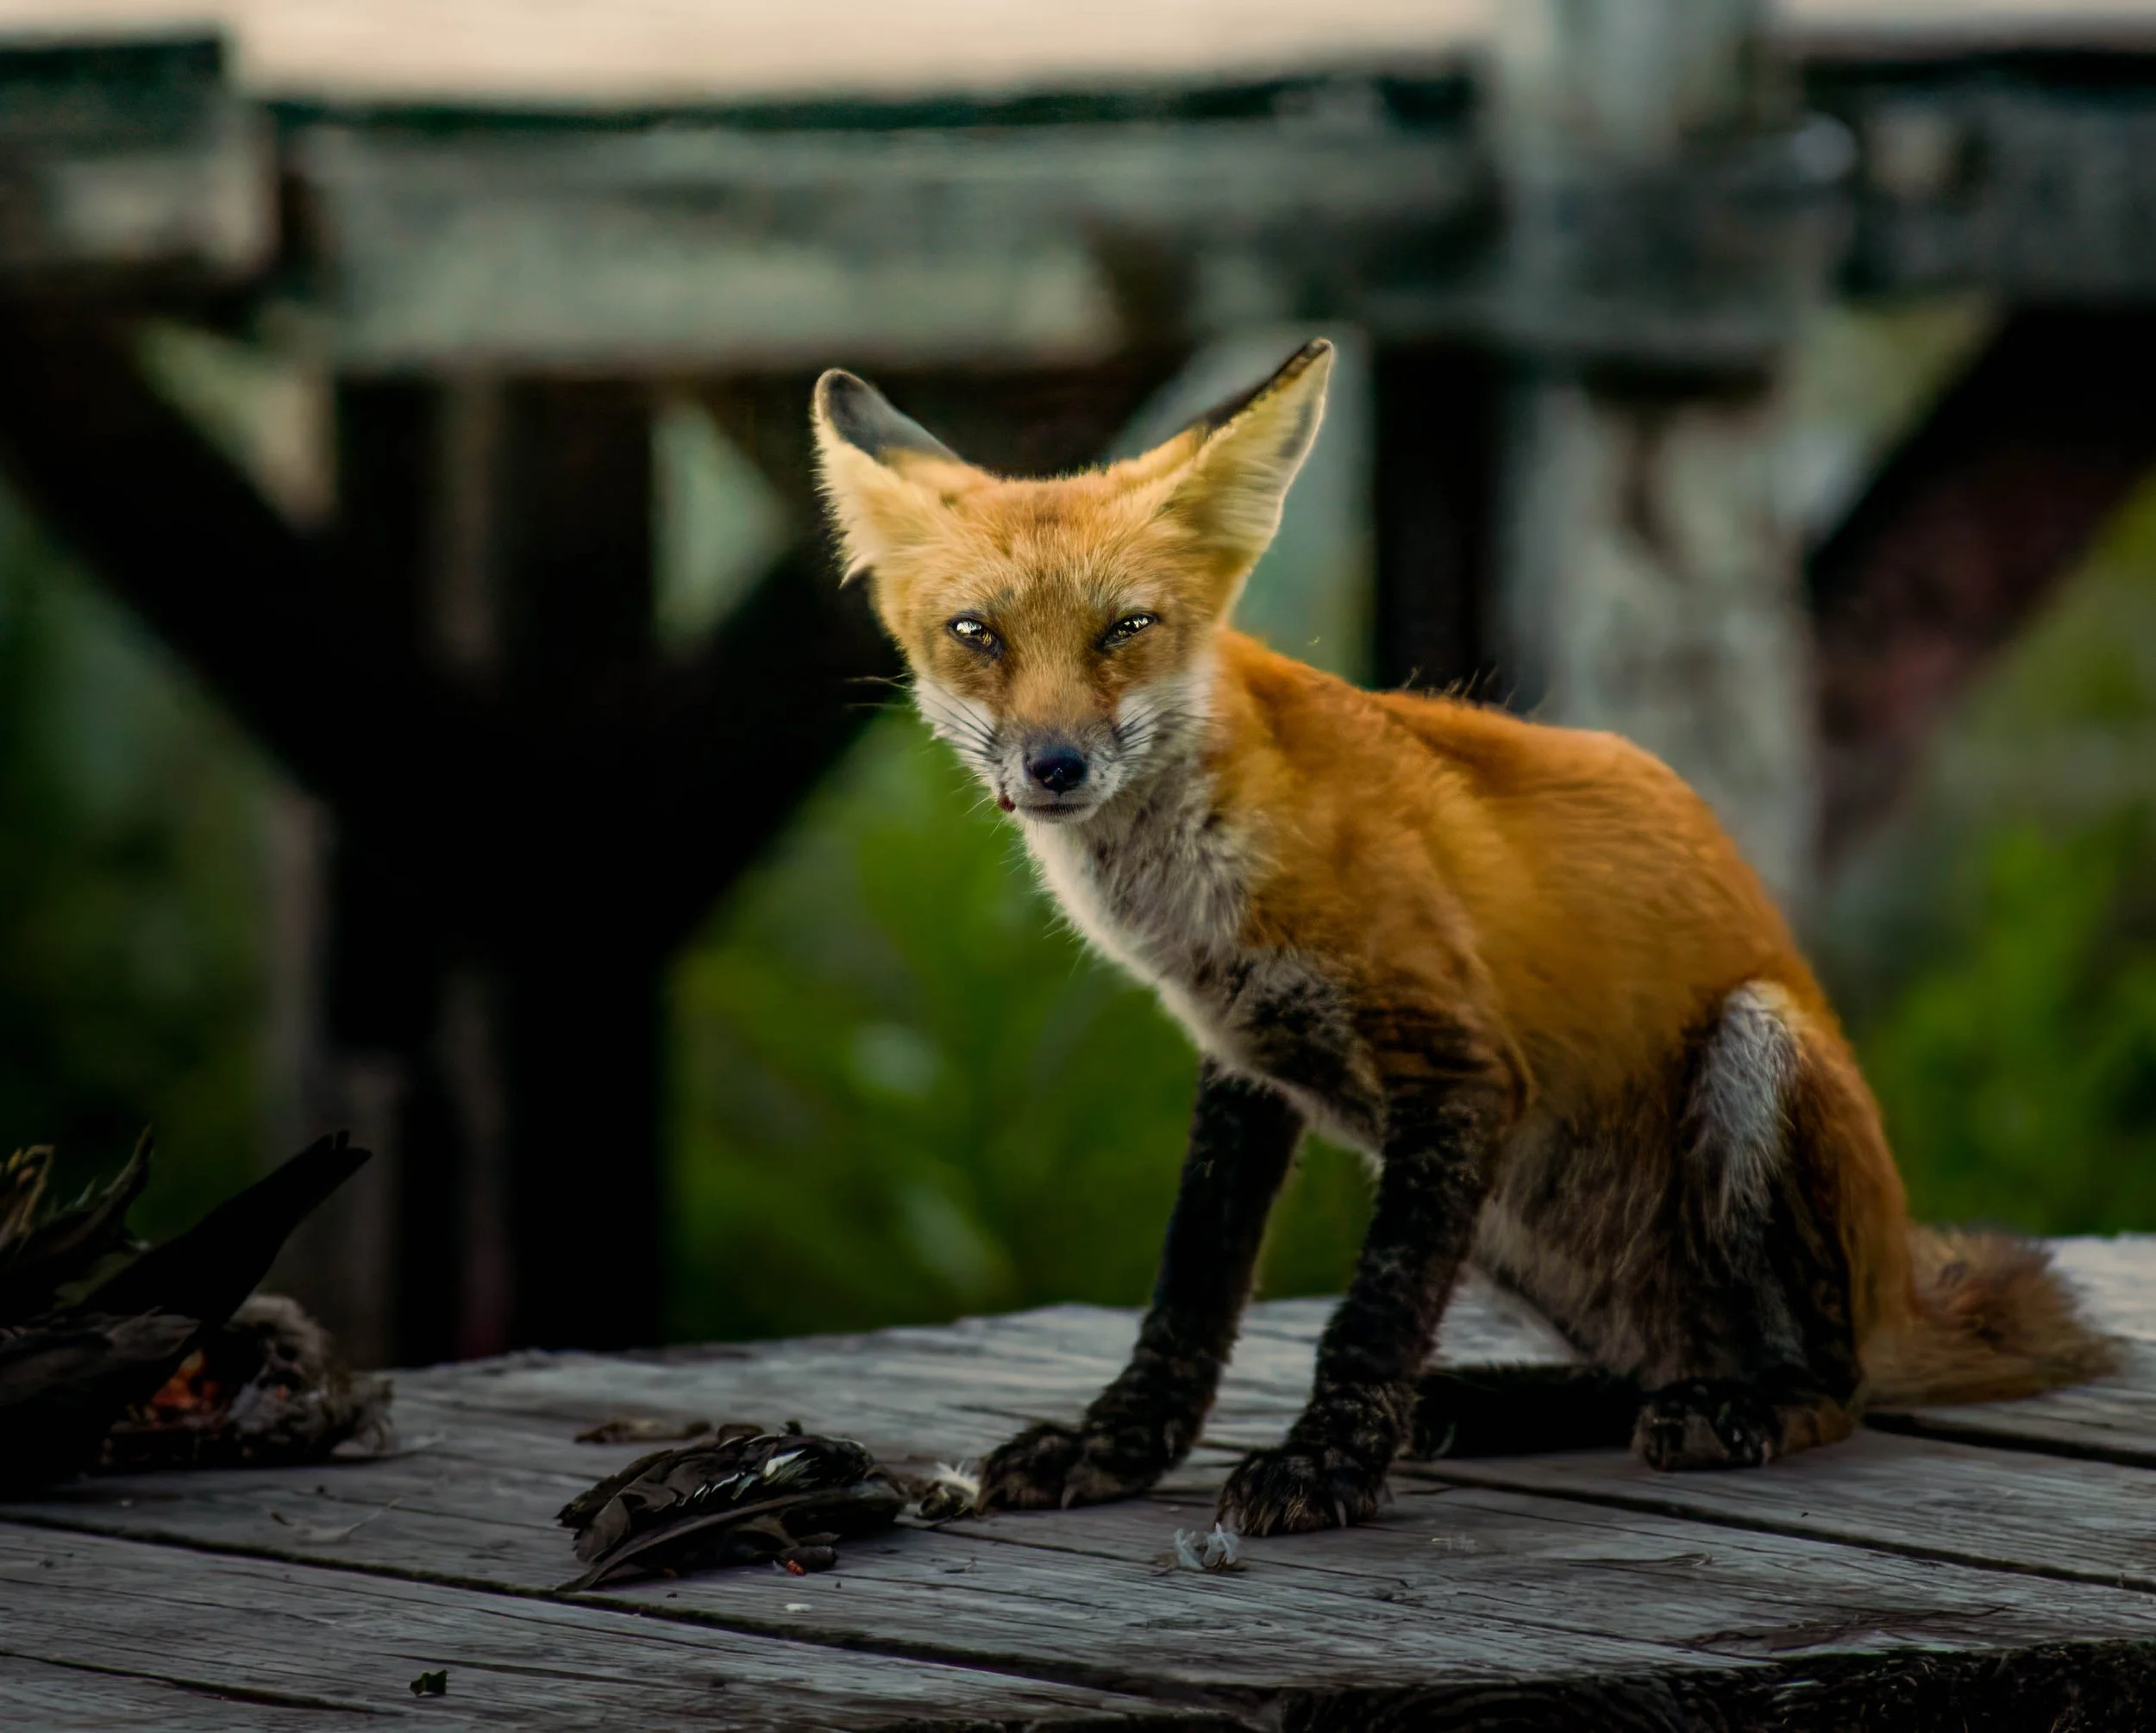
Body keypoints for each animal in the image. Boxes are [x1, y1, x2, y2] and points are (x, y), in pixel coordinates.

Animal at [810, 338, 2117, 1538]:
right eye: (976, 633)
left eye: (1127, 627)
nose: (1054, 765)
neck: (1195, 897)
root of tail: (1903, 1292)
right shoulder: (1246, 1063)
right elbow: (1189, 1292)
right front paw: (1120, 1445)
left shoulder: (1456, 1064)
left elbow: (1370, 1312)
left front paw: (1325, 1465)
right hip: (1514, 1224)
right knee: (1642, 1364)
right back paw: (1499, 1404)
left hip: (1751, 1052)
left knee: (1829, 1385)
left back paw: (1748, 1405)